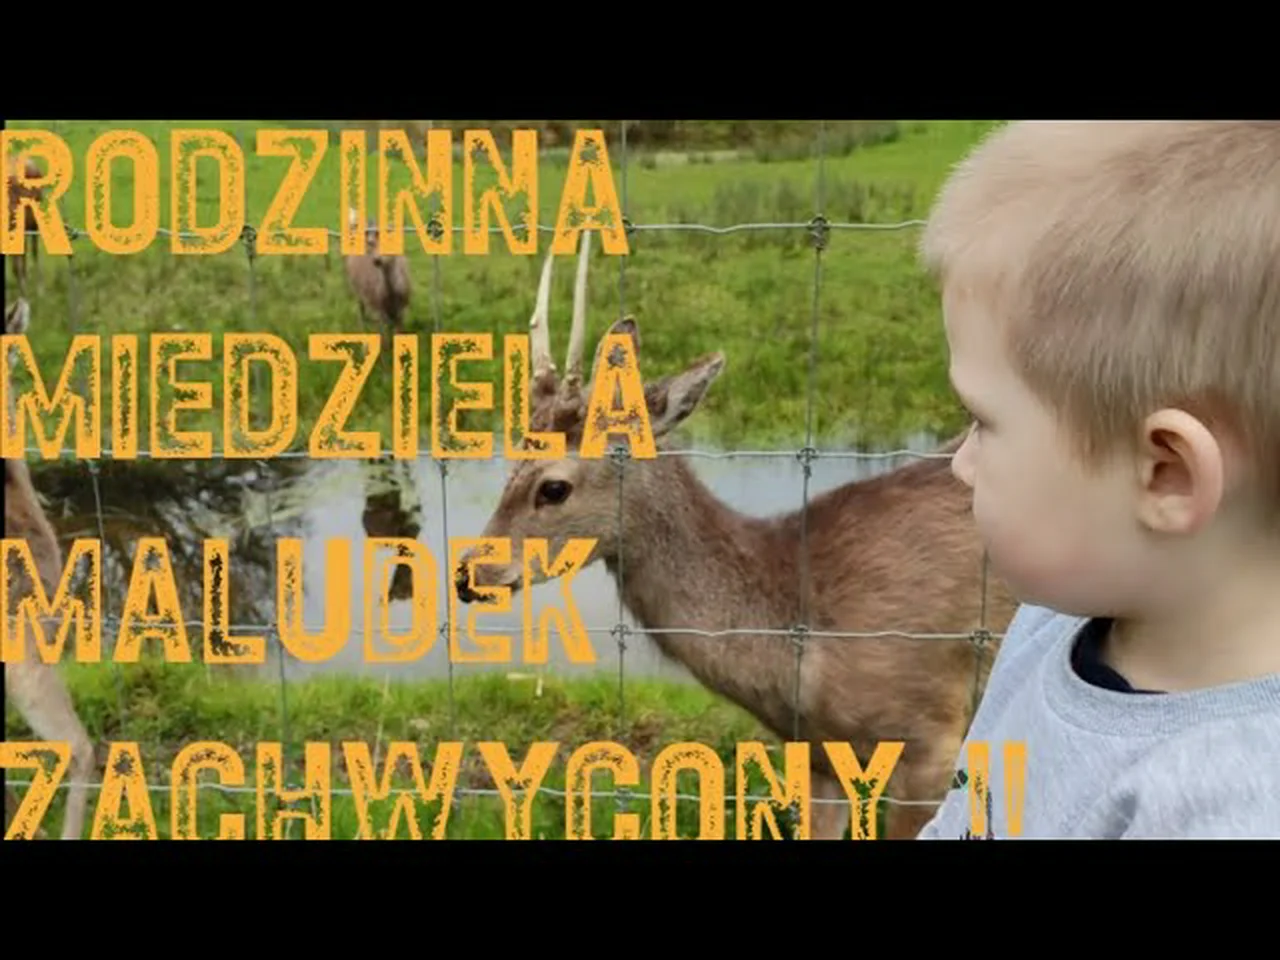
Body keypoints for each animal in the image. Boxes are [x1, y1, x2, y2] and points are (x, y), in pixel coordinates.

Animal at [343, 205, 411, 354]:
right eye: (372, 244)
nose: (377, 260)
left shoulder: (403, 307)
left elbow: (398, 331)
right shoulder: (378, 306)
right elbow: (384, 334)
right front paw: (385, 351)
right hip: (356, 290)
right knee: (361, 314)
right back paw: (364, 345)